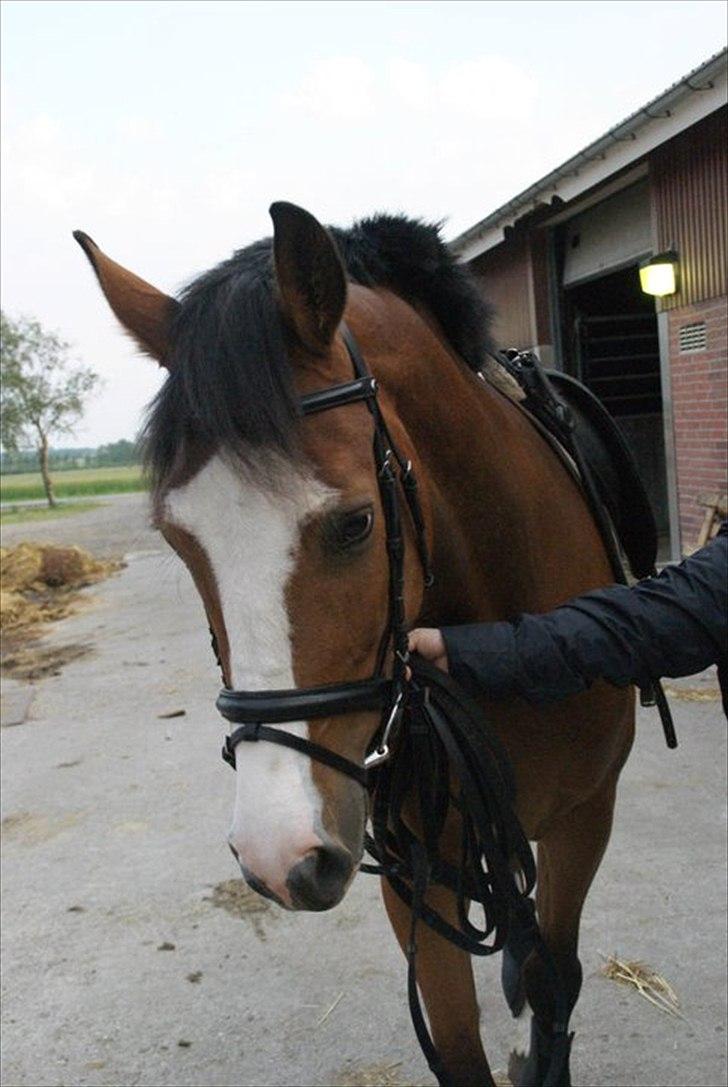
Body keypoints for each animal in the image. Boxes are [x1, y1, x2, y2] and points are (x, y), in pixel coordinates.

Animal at [72, 205, 634, 1087]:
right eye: (177, 538)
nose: (277, 852)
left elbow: (554, 986)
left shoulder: (586, 818)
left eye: (356, 523)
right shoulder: (416, 866)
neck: (514, 630)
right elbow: (462, 1036)